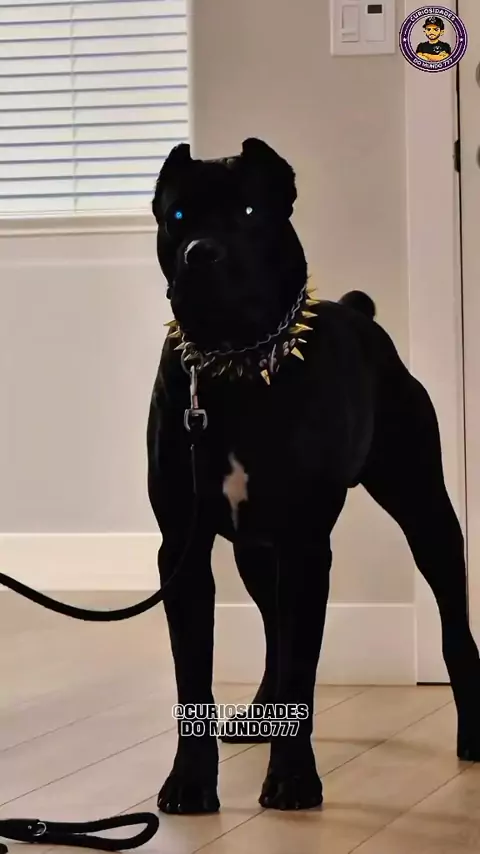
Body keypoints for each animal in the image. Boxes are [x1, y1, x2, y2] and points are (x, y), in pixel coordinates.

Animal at [148, 137, 480, 814]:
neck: (233, 367)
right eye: (178, 216)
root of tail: (360, 314)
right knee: (274, 630)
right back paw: (259, 715)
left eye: (251, 212)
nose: (202, 253)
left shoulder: (305, 545)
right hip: (255, 551)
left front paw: (293, 780)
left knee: (454, 626)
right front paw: (190, 783)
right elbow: (195, 674)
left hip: (426, 513)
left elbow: (303, 662)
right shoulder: (185, 553)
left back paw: (476, 734)